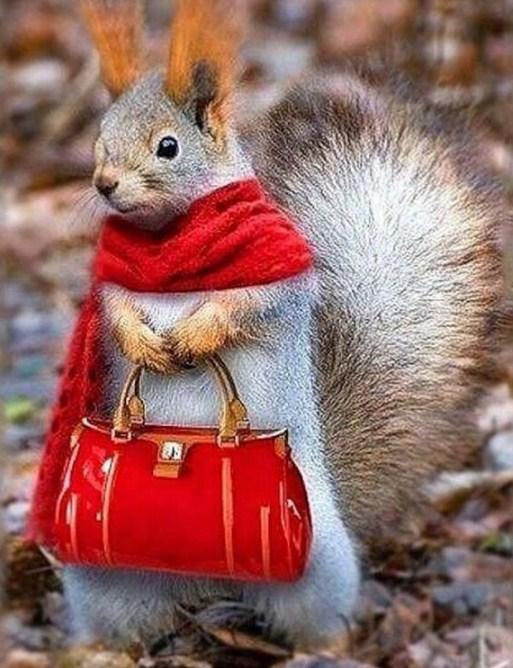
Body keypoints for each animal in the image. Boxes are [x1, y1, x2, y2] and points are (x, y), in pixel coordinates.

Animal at [45, 0, 504, 653]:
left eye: (168, 147)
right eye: (98, 138)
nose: (105, 184)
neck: (168, 241)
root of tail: (207, 585)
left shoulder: (279, 280)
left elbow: (250, 306)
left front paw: (196, 334)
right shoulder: (114, 284)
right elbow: (117, 312)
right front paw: (144, 340)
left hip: (312, 563)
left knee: (316, 618)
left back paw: (323, 647)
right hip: (104, 576)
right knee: (127, 622)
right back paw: (98, 650)